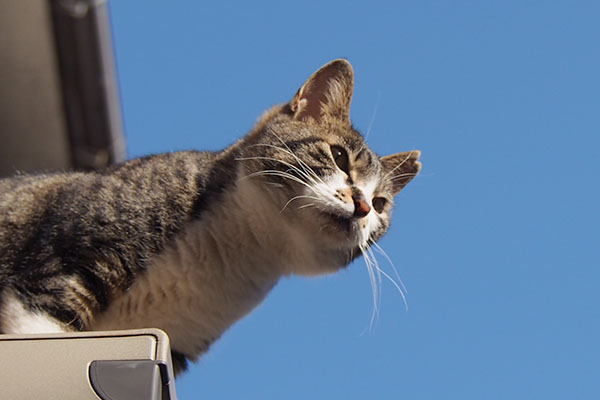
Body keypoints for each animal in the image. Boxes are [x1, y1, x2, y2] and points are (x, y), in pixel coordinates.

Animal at [0, 59, 420, 376]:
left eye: (380, 204)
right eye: (338, 157)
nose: (362, 206)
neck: (235, 251)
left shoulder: (179, 338)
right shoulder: (66, 262)